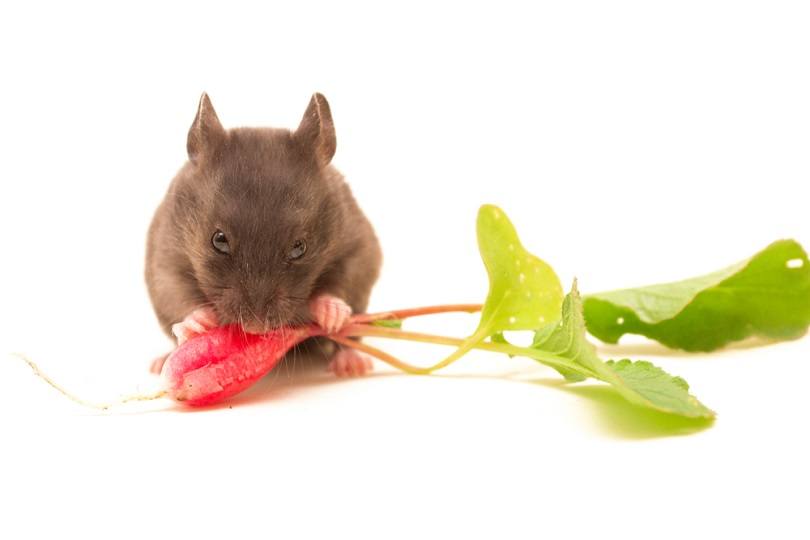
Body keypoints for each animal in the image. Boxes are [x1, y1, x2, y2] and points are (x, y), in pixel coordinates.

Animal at [145, 93, 382, 376]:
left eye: (299, 247)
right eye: (218, 240)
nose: (255, 328)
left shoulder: (358, 249)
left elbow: (342, 284)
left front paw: (332, 313)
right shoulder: (165, 257)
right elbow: (177, 294)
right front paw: (198, 323)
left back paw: (353, 365)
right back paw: (159, 363)